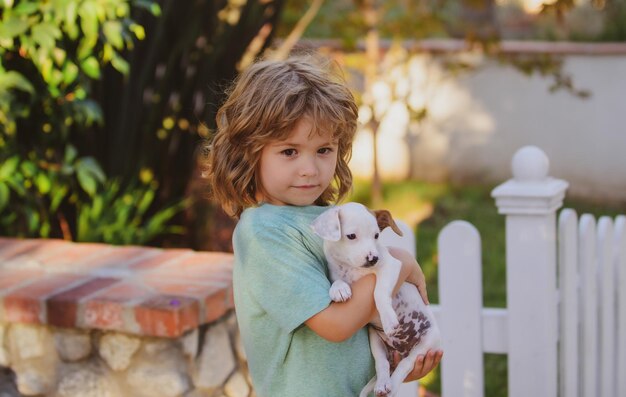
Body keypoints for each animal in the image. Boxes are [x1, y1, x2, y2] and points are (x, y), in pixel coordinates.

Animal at [310, 203, 438, 394]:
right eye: (351, 236)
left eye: (376, 235)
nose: (373, 258)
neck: (351, 268)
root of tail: (402, 350)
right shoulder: (334, 274)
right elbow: (337, 281)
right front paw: (339, 290)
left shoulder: (391, 266)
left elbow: (379, 292)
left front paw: (389, 319)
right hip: (376, 341)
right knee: (382, 364)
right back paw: (382, 384)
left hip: (427, 342)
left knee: (405, 366)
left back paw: (392, 387)